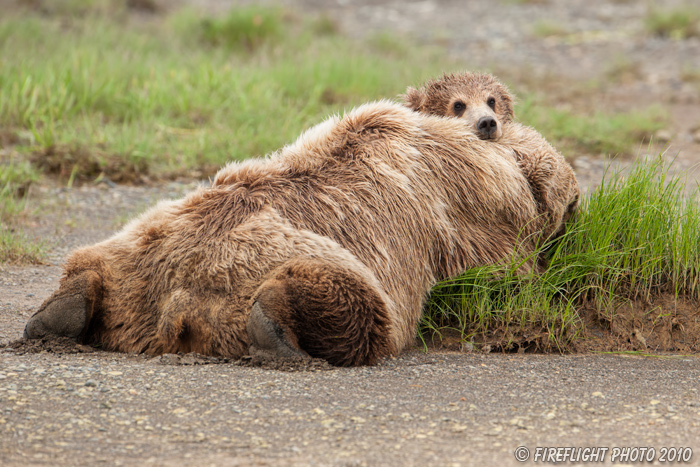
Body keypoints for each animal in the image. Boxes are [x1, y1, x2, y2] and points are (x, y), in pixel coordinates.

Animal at [23, 100, 580, 368]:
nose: (575, 210)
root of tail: (171, 307)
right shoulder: (465, 213)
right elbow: (506, 267)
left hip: (139, 242)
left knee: (90, 263)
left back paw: (57, 315)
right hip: (284, 262)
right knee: (359, 311)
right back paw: (277, 327)